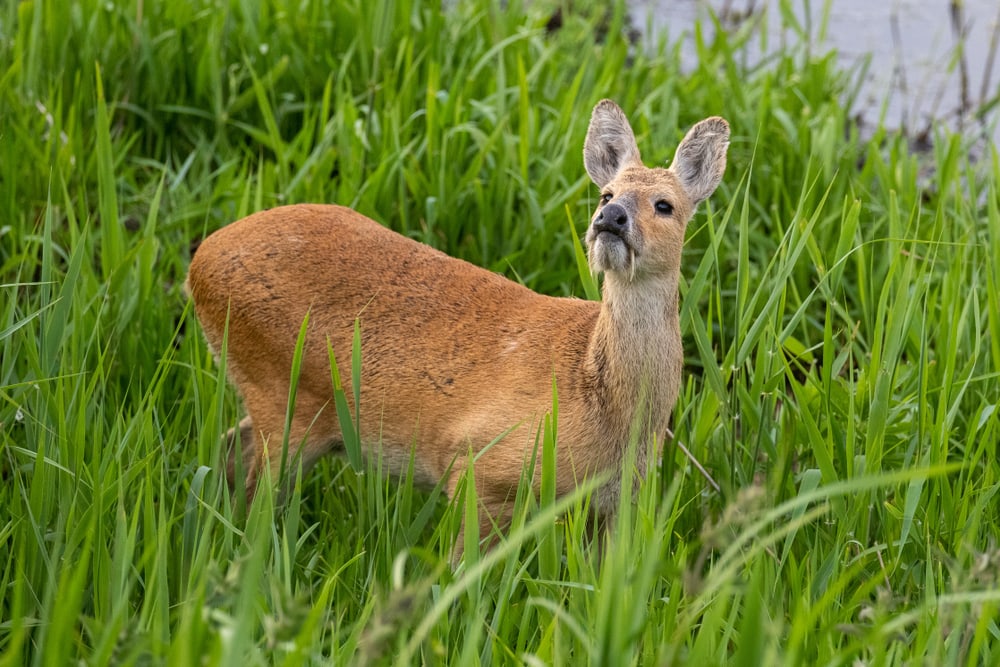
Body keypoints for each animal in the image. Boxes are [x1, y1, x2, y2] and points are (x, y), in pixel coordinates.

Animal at [186, 99, 729, 560]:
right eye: (607, 193)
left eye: (665, 205)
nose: (609, 218)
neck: (601, 400)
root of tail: (200, 260)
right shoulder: (480, 467)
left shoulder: (614, 505)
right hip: (280, 393)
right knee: (255, 492)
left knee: (230, 451)